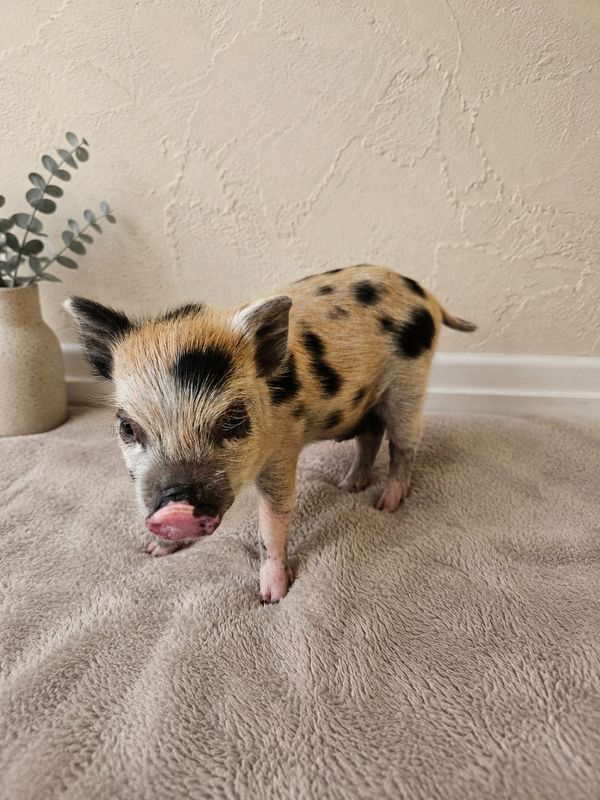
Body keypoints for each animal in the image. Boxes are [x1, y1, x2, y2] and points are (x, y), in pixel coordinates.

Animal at [65, 264, 475, 603]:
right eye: (127, 426)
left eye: (232, 420)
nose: (177, 507)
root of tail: (424, 293)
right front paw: (154, 552)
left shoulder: (282, 453)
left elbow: (273, 522)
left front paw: (272, 596)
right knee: (370, 436)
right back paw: (348, 487)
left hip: (409, 383)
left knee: (404, 445)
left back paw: (384, 505)